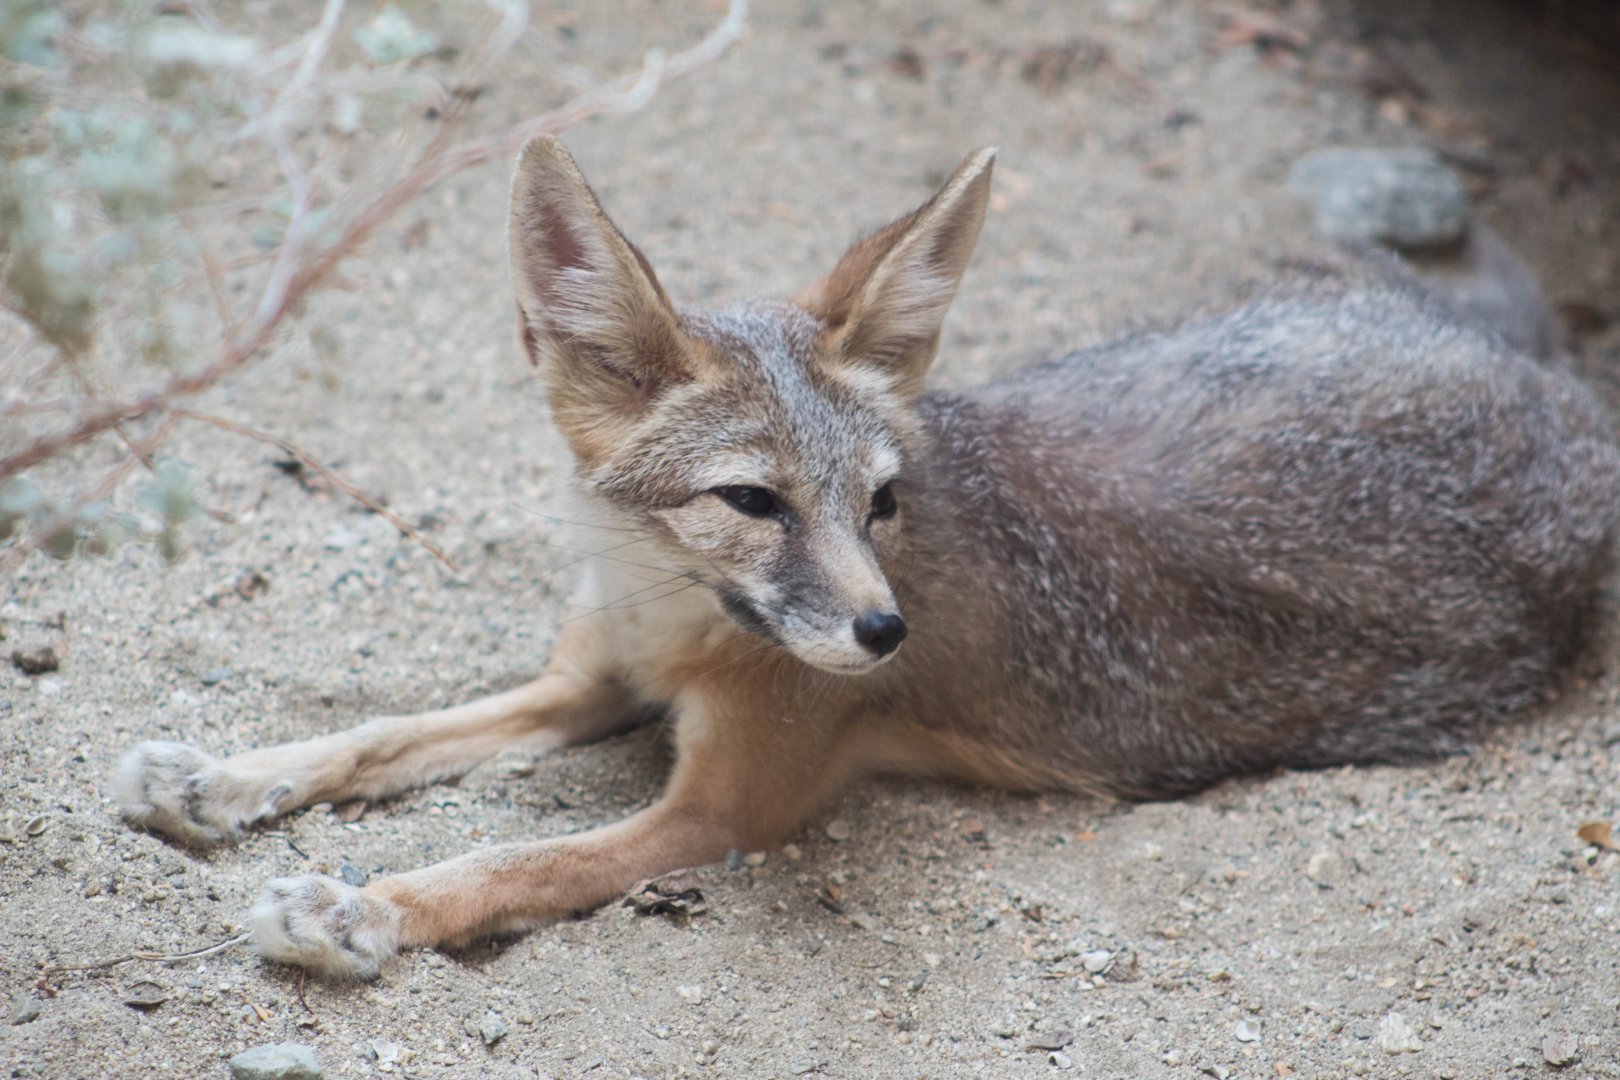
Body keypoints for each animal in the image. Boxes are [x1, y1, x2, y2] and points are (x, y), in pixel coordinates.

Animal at [113, 138, 1619, 980]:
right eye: (752, 500)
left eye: (885, 501)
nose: (886, 635)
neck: (674, 617)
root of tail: (1544, 392)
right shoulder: (589, 682)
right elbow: (385, 734)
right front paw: (219, 776)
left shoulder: (718, 812)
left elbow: (517, 859)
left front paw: (365, 909)